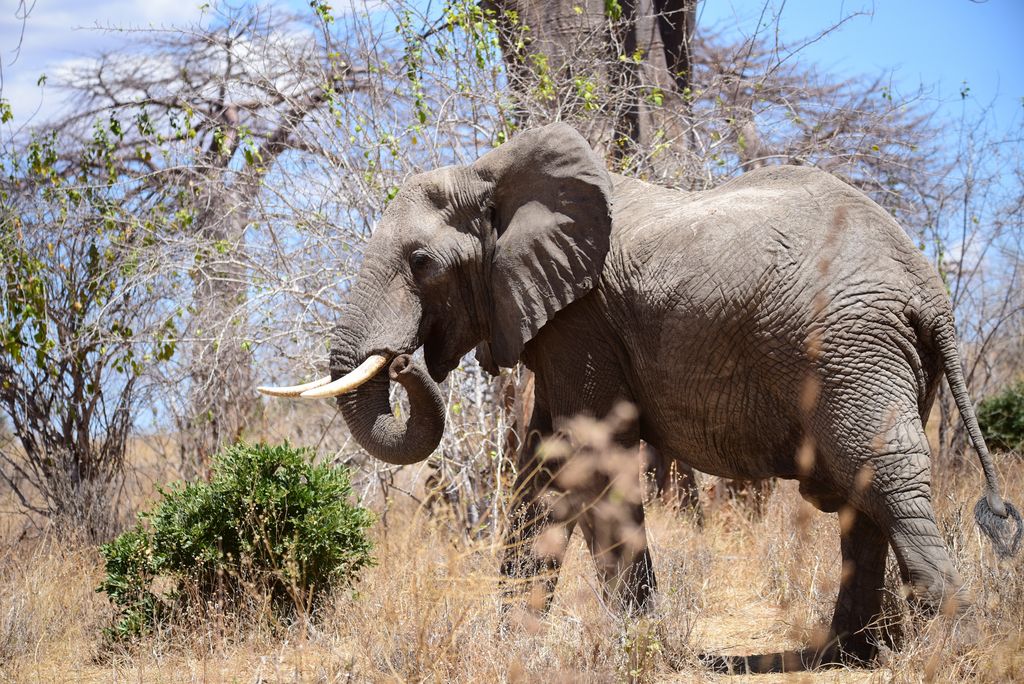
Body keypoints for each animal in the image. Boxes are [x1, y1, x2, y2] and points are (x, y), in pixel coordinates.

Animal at [260, 122, 1019, 667]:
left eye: (420, 263)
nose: (400, 363)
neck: (493, 171)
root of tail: (930, 292)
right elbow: (543, 470)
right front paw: (513, 651)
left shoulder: (582, 318)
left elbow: (592, 460)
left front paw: (640, 648)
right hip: (878, 355)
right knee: (864, 489)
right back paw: (845, 656)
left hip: (852, 346)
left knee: (882, 473)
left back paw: (949, 645)